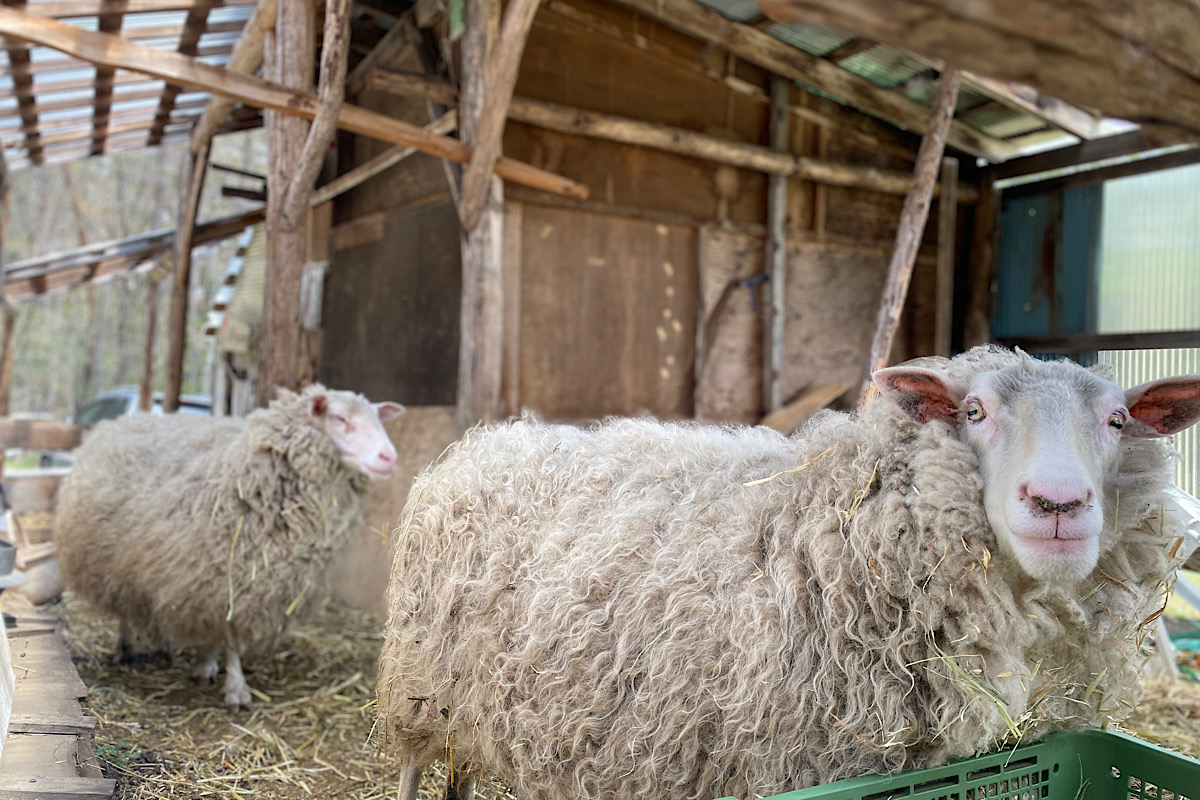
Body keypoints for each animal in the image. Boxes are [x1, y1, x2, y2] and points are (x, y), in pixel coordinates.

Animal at [54, 383, 403, 710]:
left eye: (377, 418)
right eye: (339, 418)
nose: (390, 458)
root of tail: (120, 422)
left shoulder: (217, 582)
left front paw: (207, 662)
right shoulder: (224, 578)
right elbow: (231, 637)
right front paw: (235, 688)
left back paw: (163, 644)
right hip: (108, 557)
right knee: (123, 605)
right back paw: (125, 646)